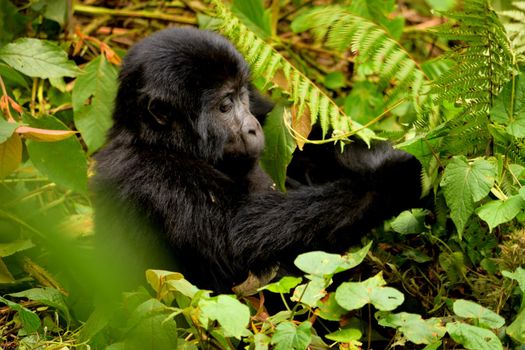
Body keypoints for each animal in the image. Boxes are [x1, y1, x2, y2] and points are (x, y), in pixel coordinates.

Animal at [93, 28, 422, 292]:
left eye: (242, 95)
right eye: (225, 106)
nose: (252, 127)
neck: (155, 139)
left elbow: (304, 142)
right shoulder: (154, 177)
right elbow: (239, 238)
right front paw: (392, 180)